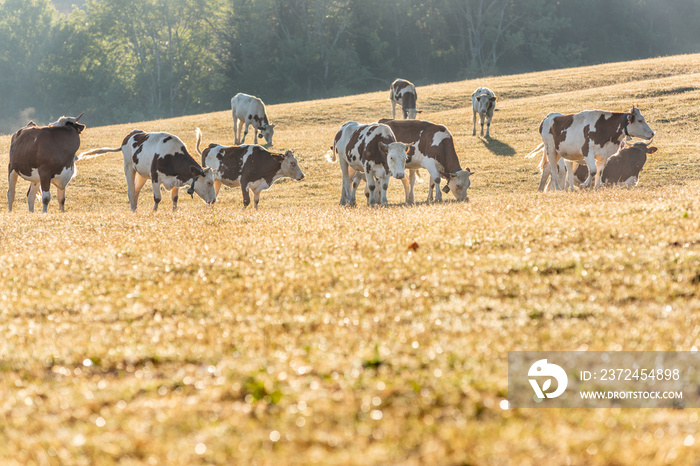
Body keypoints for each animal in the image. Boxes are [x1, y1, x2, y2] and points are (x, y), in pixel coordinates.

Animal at [78, 130, 215, 212]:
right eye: (209, 182)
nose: (214, 200)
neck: (172, 155)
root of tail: (132, 134)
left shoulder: (177, 179)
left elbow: (175, 198)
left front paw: (174, 212)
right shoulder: (155, 177)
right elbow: (157, 198)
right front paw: (154, 212)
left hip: (143, 174)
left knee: (137, 190)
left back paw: (135, 208)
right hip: (128, 167)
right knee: (131, 190)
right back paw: (132, 210)